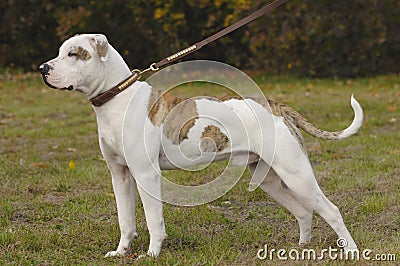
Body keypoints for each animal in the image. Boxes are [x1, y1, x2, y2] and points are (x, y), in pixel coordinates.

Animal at [39, 33, 362, 258]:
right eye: (59, 51)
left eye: (73, 53)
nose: (43, 67)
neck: (118, 98)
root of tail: (277, 107)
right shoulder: (119, 176)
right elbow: (125, 221)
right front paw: (121, 253)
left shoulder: (145, 175)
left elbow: (153, 220)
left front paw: (152, 254)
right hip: (270, 178)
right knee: (304, 211)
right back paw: (300, 249)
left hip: (297, 174)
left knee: (331, 210)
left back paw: (351, 251)